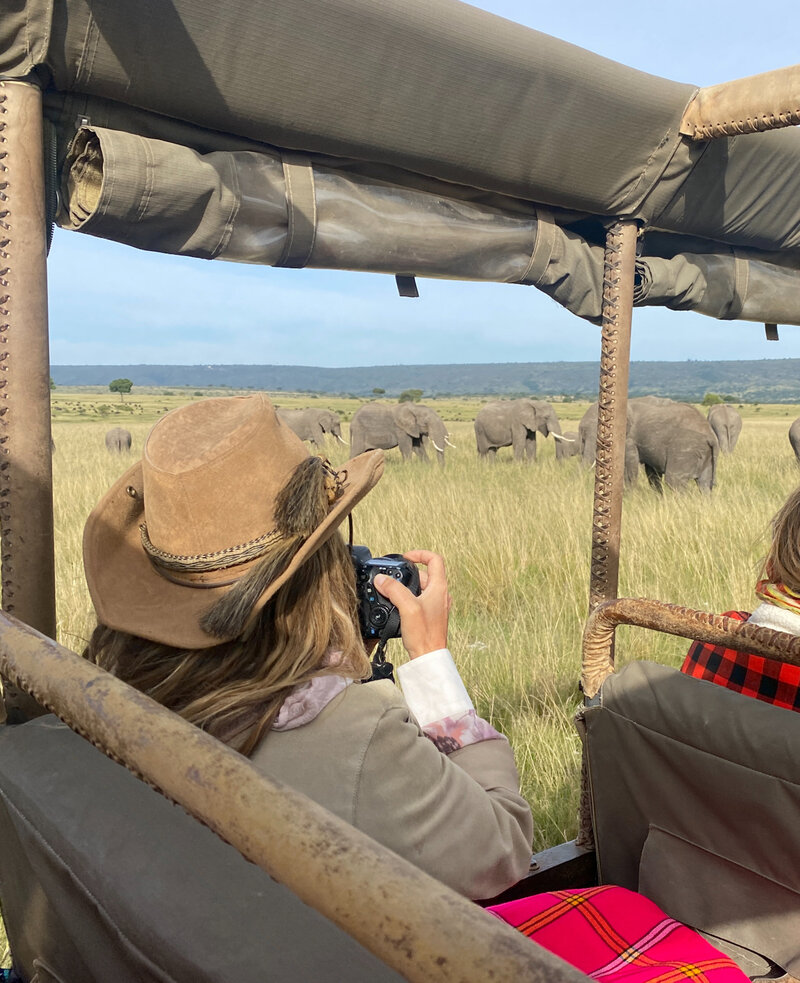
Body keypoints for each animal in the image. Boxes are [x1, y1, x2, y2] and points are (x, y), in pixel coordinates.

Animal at [576, 396, 720, 492]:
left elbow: (630, 469)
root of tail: (711, 436)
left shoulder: (630, 440)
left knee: (675, 481)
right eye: (582, 437)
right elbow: (652, 473)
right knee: (705, 485)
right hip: (706, 455)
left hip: (685, 449)